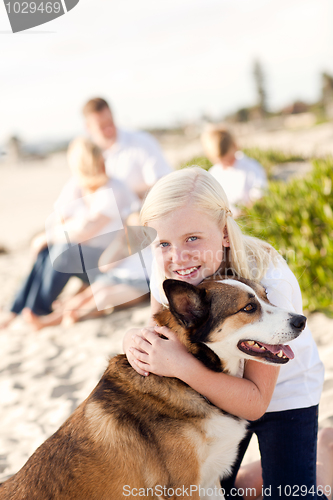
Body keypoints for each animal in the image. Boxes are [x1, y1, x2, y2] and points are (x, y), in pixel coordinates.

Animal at [0, 276, 306, 498]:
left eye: (267, 296)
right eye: (249, 308)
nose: (301, 320)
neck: (186, 380)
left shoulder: (208, 482)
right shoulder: (184, 488)